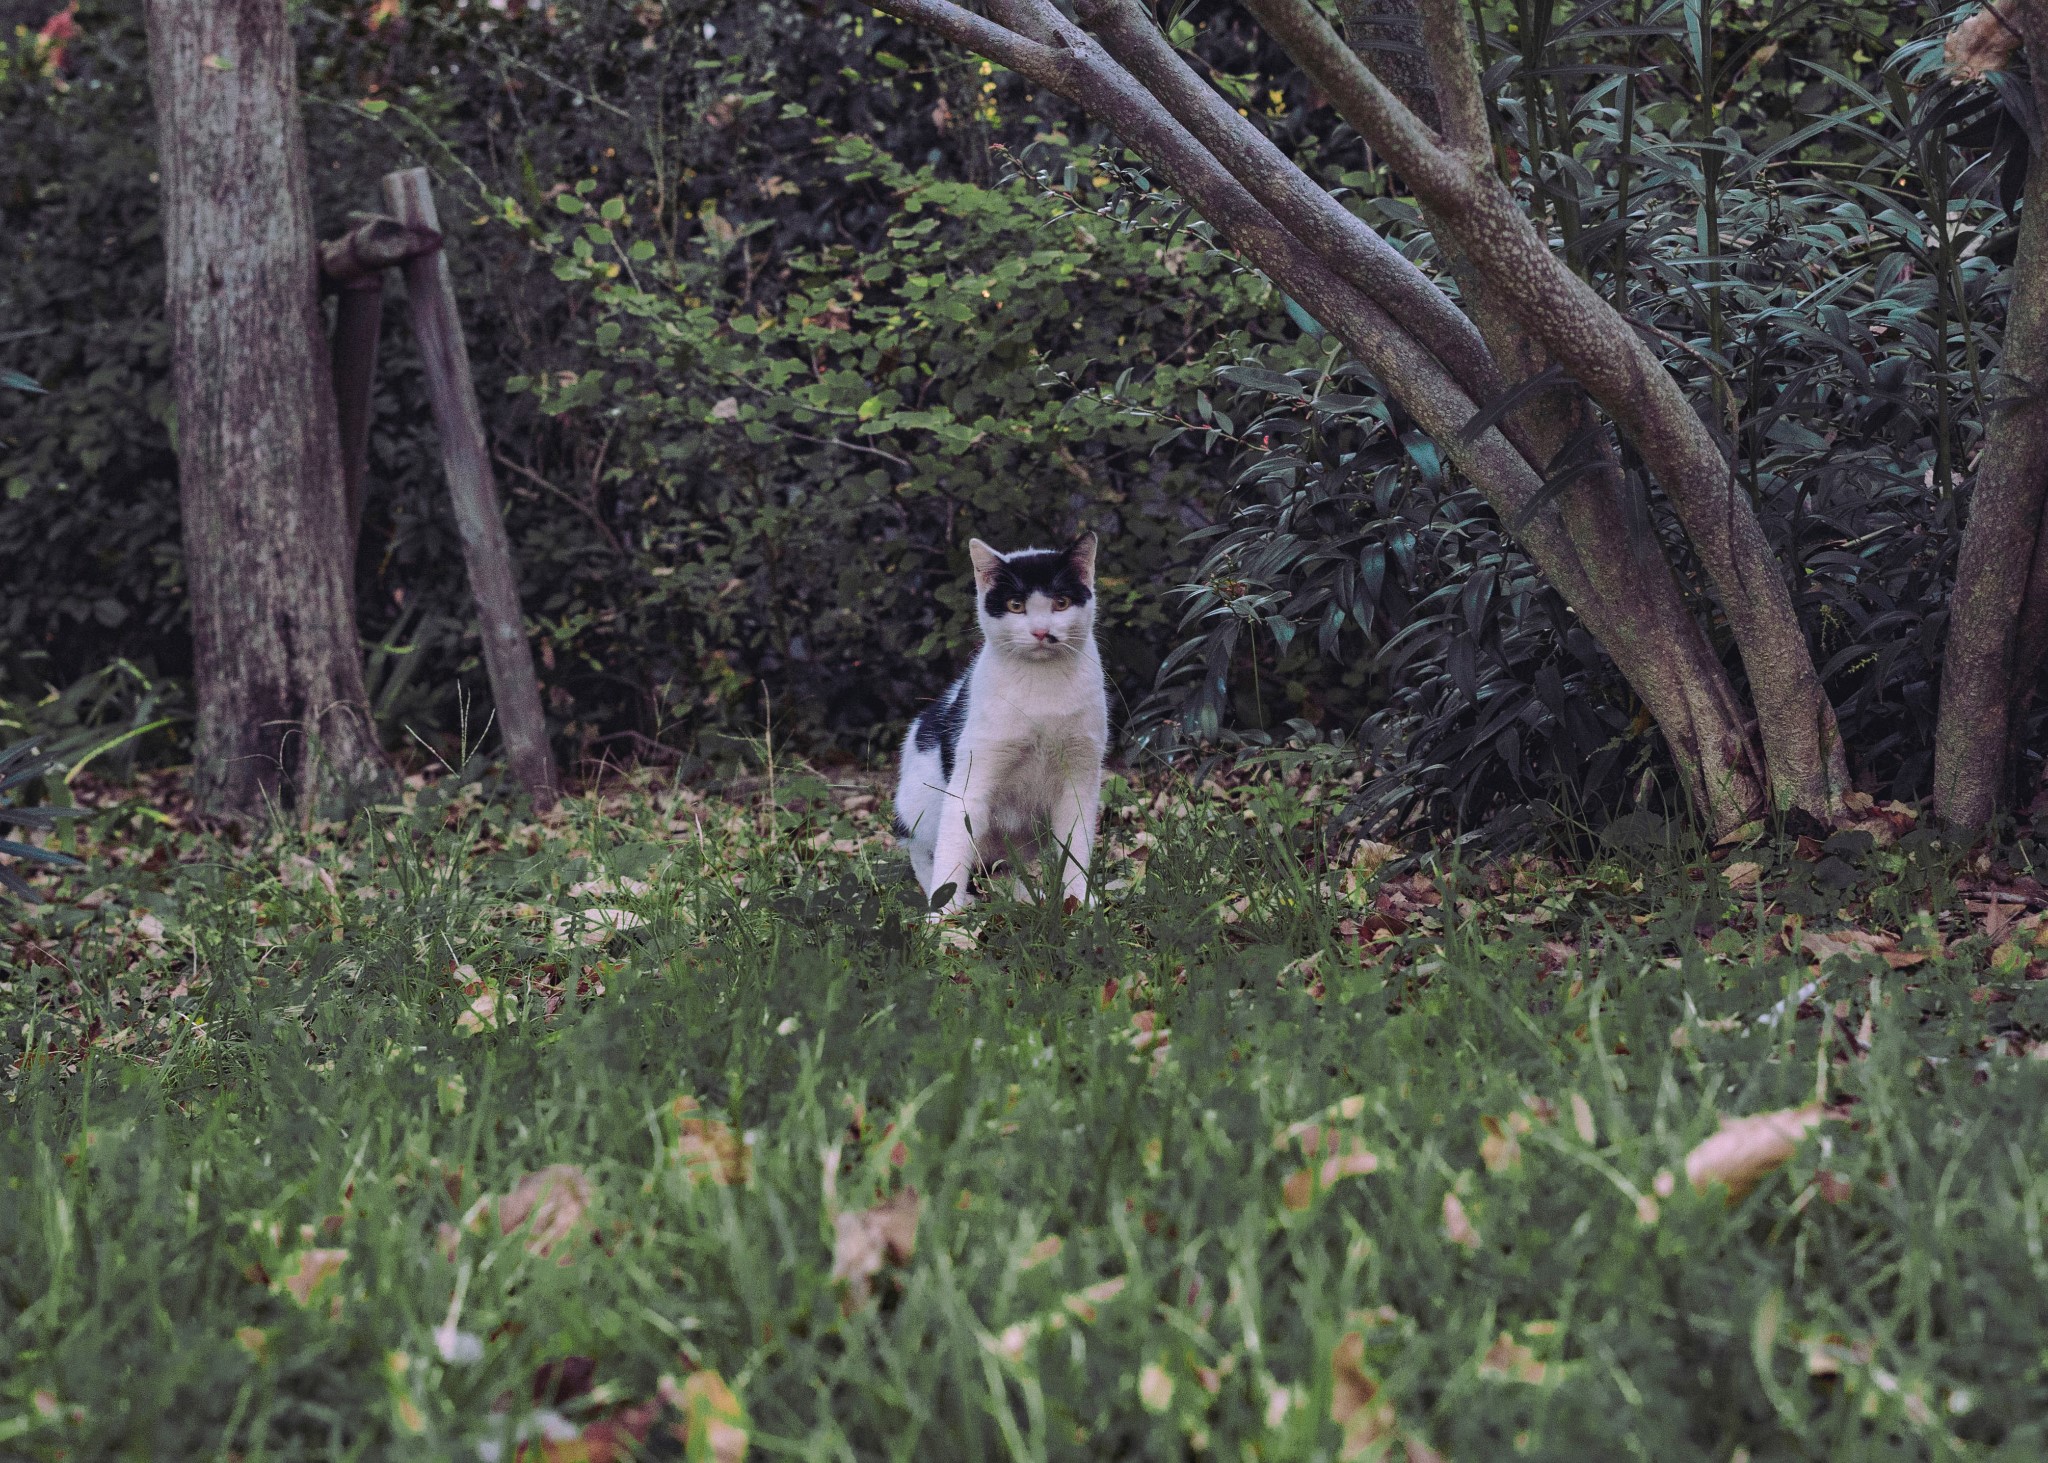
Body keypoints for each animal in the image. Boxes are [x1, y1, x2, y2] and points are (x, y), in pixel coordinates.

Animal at [897, 536, 1114, 909]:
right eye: (1015, 605)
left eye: (1061, 602)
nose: (1041, 632)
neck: (1041, 687)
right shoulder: (971, 780)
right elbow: (952, 847)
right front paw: (943, 918)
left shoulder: (1080, 775)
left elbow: (1077, 845)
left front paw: (1078, 902)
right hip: (921, 804)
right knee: (924, 852)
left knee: (1005, 867)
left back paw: (1024, 897)